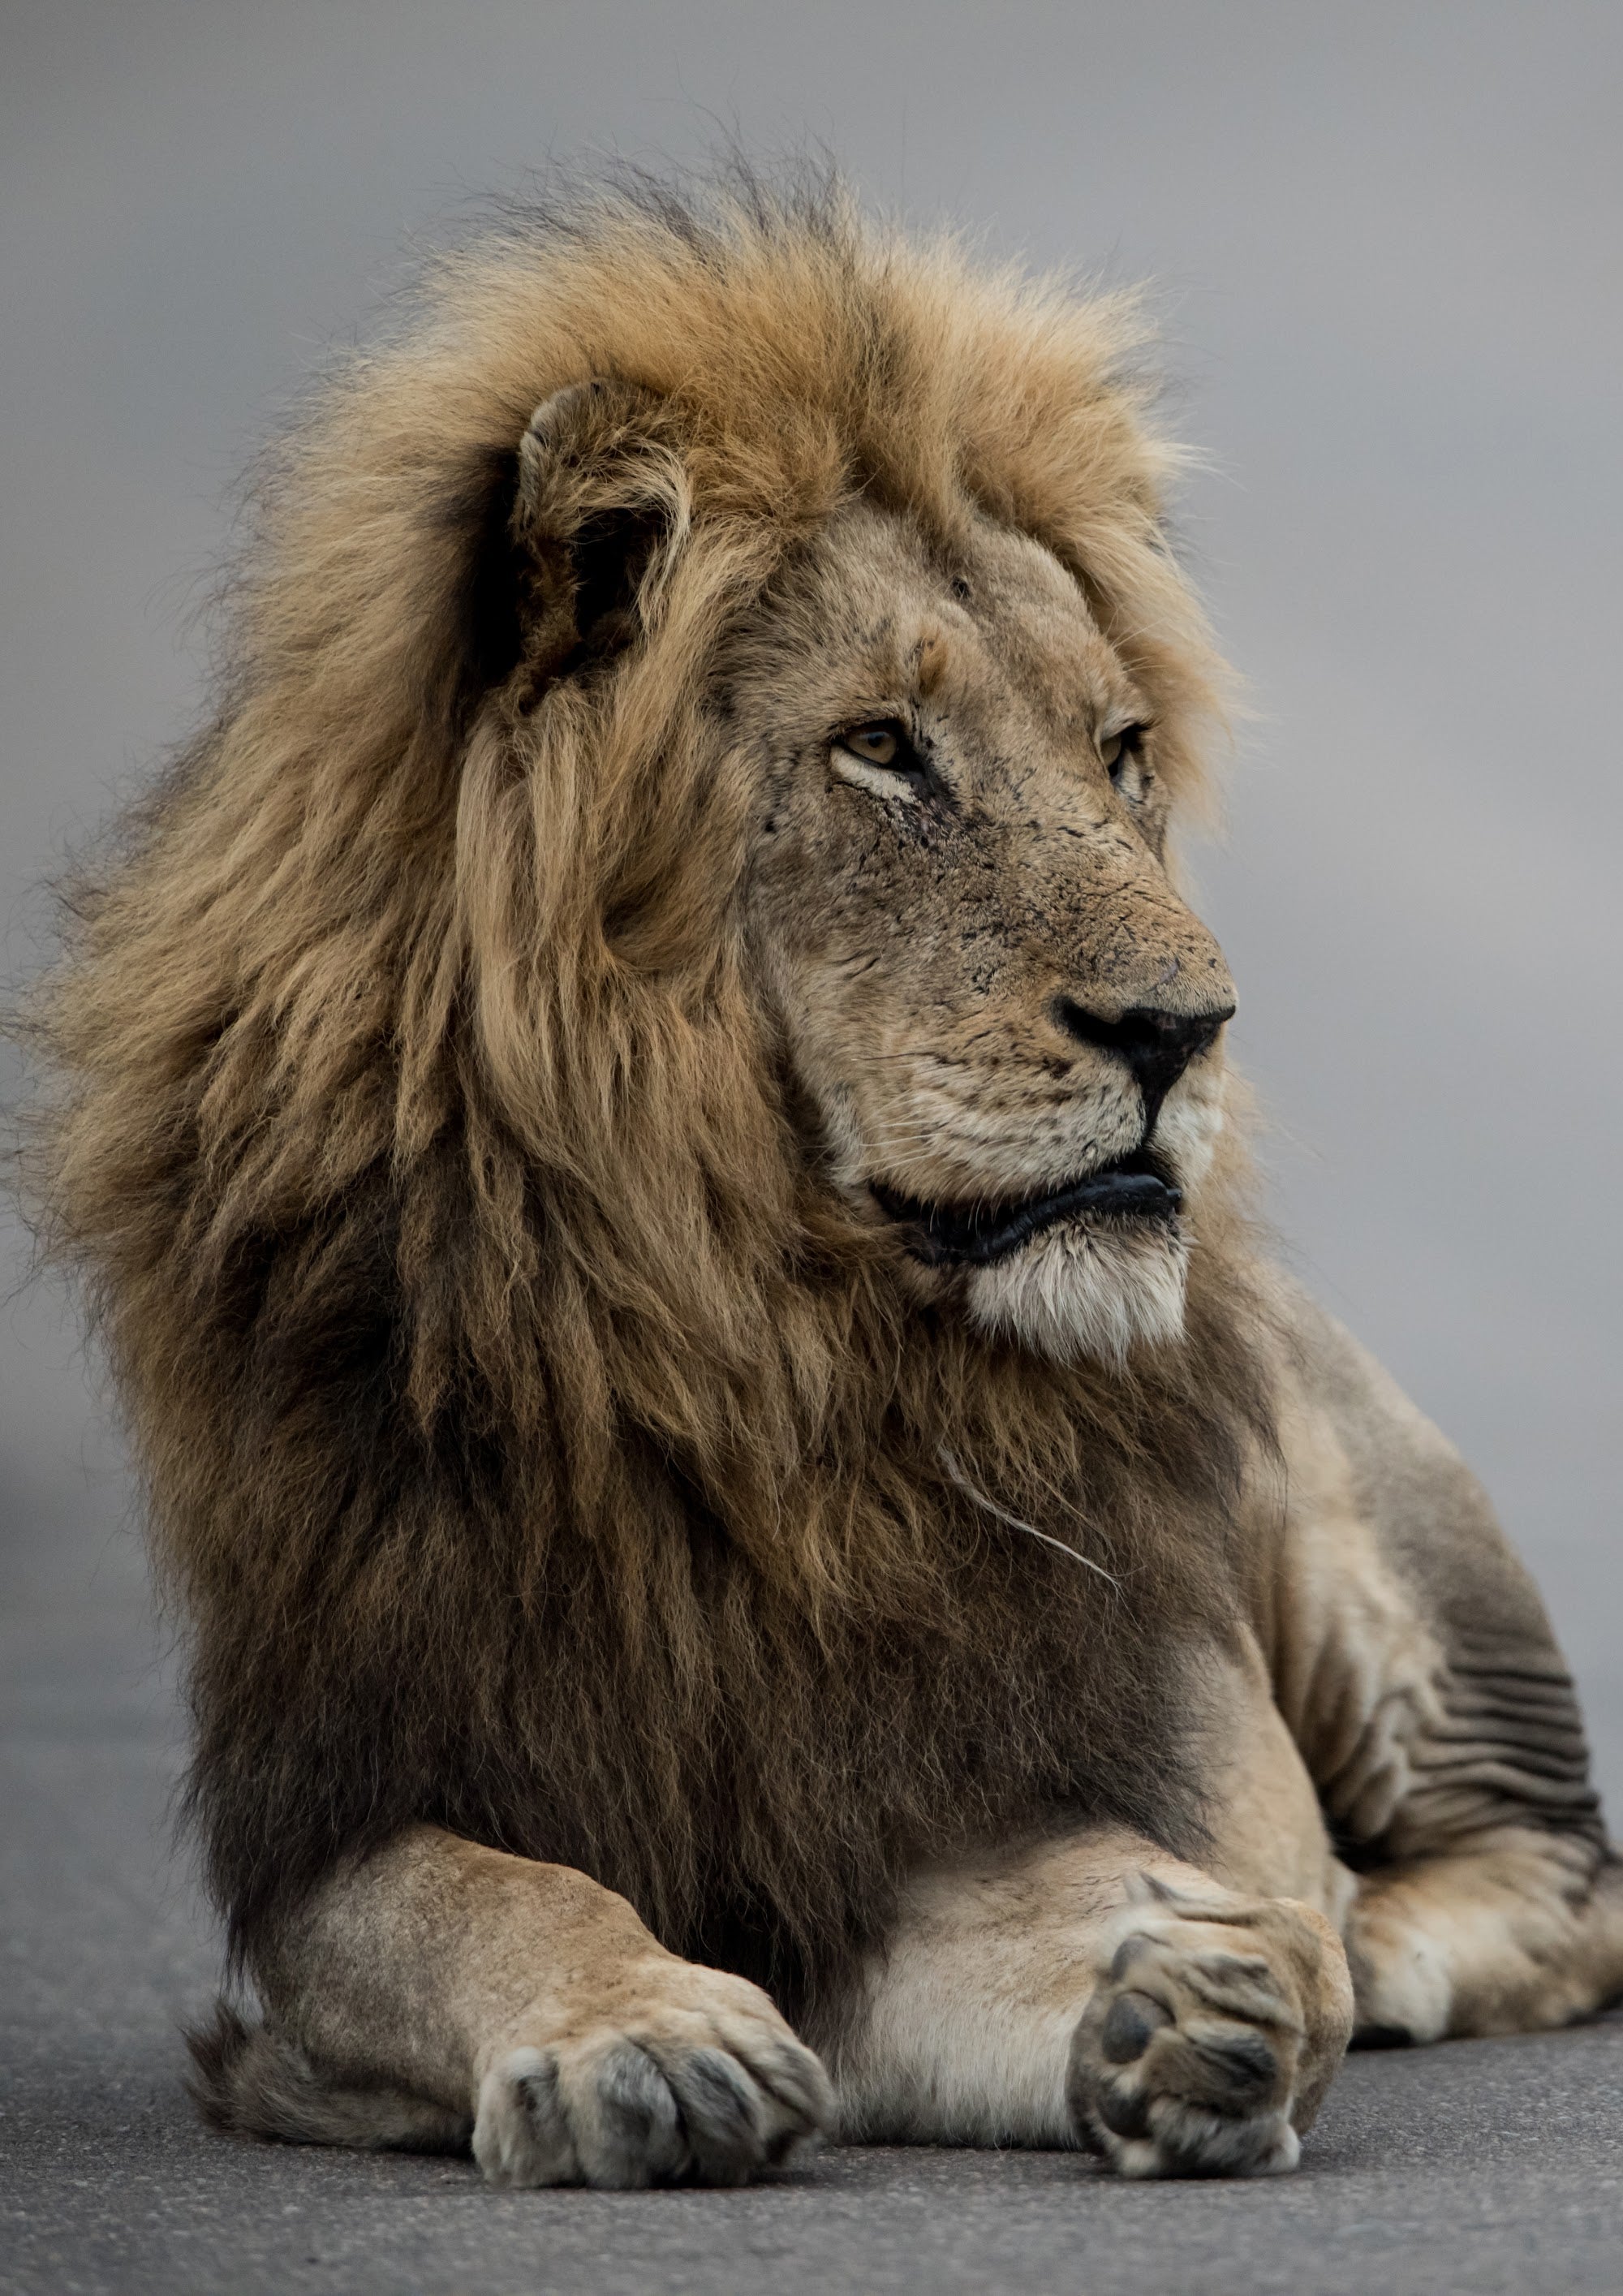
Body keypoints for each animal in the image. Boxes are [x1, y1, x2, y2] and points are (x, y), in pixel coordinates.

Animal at [19, 169, 1621, 2187]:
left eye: (1118, 751)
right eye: (880, 749)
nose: (1188, 1029)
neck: (768, 1344)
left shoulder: (1013, 1772)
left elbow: (1160, 1923)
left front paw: (1201, 1994)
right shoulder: (349, 1813)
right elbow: (486, 1897)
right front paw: (644, 2036)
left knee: (1556, 1867)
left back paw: (1385, 1932)